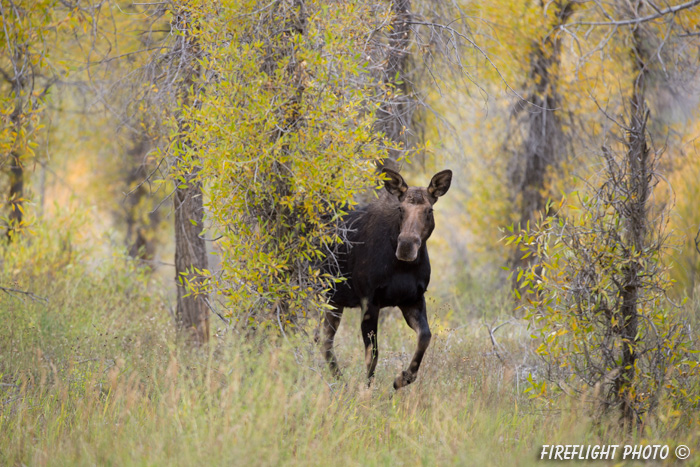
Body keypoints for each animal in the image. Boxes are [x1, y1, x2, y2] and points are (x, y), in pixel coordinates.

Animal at [322, 170, 454, 390]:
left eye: (429, 210)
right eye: (401, 208)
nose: (407, 246)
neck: (402, 267)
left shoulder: (413, 300)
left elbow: (425, 337)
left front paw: (402, 378)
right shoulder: (369, 301)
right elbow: (372, 355)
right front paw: (367, 391)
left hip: (334, 300)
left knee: (323, 340)